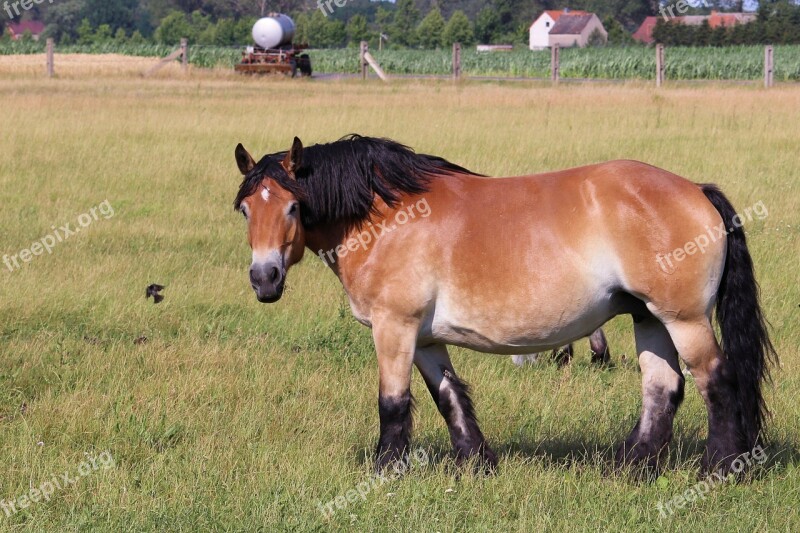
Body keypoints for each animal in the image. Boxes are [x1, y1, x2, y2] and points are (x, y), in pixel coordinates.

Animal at [231, 135, 776, 476]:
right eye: (245, 209)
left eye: (293, 206)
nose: (264, 278)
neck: (385, 216)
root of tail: (696, 190)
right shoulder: (425, 338)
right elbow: (449, 397)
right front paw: (477, 463)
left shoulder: (394, 327)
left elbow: (393, 403)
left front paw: (387, 470)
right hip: (650, 318)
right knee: (662, 388)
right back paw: (631, 467)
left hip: (684, 320)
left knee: (716, 381)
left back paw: (720, 468)